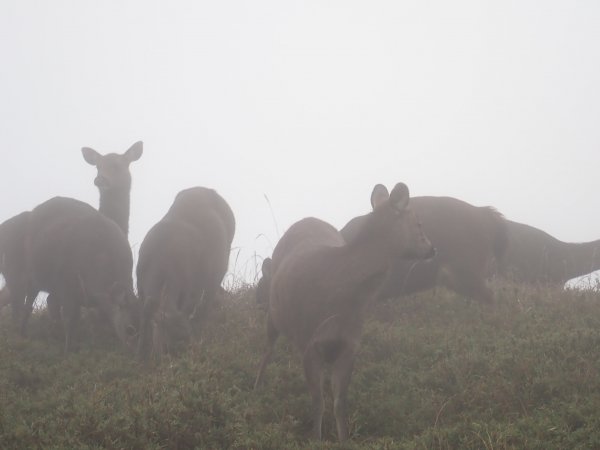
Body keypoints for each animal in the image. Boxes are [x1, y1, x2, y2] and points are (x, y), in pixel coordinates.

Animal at [16, 197, 139, 352]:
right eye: (129, 329)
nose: (137, 352)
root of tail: (34, 212)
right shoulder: (67, 288)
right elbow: (70, 320)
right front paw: (67, 349)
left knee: (50, 301)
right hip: (34, 275)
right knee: (30, 302)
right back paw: (22, 333)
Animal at [137, 186, 236, 358]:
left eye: (186, 336)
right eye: (168, 342)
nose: (193, 353)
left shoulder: (190, 289)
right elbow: (144, 317)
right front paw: (141, 351)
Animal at [254, 184, 436, 442]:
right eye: (418, 223)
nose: (432, 248)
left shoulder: (350, 343)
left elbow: (340, 403)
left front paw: (344, 439)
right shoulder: (309, 340)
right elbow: (318, 402)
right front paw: (316, 440)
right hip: (274, 312)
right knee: (267, 349)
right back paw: (256, 387)